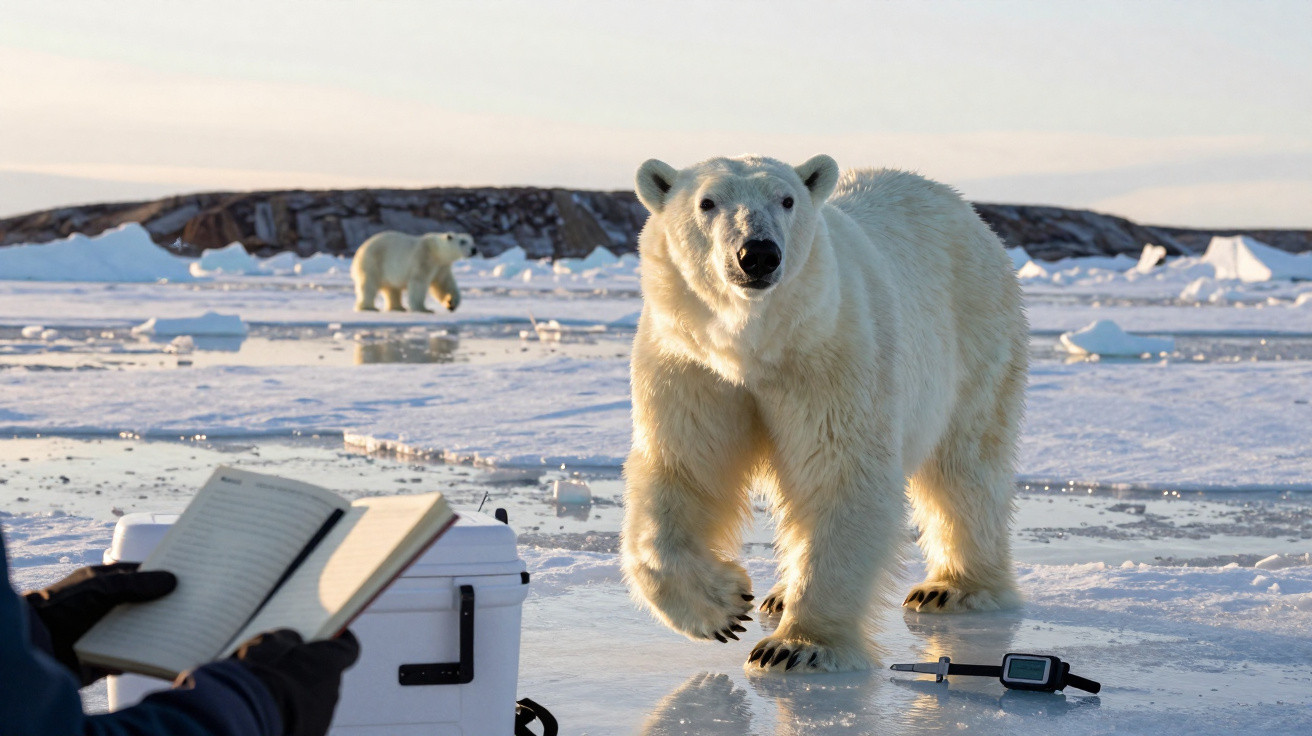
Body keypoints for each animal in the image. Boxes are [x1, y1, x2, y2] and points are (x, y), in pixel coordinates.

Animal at [620, 154, 1028, 674]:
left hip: (975, 332)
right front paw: (724, 608)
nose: (758, 254)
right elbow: (684, 470)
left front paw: (796, 647)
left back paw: (953, 587)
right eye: (707, 202)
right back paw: (778, 594)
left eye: (787, 199)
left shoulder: (829, 353)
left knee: (965, 465)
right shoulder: (692, 365)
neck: (755, 347)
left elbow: (839, 474)